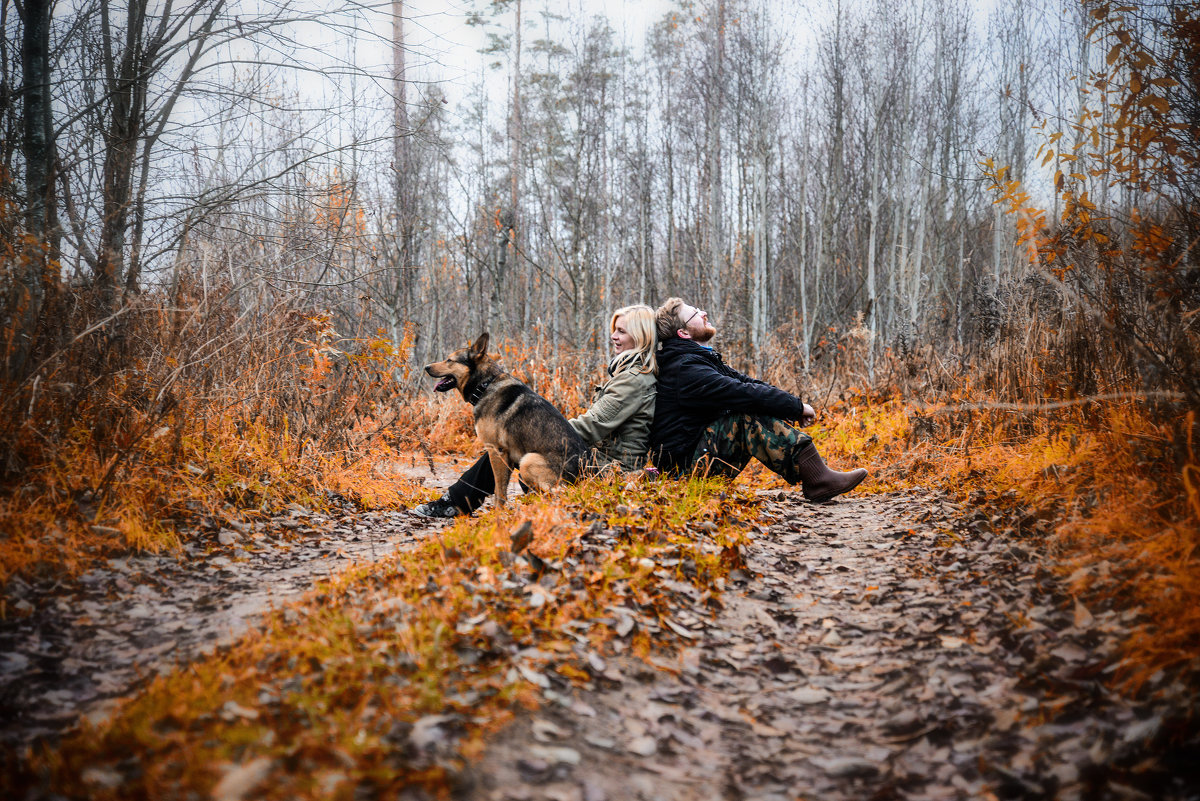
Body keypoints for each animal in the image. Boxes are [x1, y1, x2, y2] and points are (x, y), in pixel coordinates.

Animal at [424, 330, 588, 506]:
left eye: (449, 360)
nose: (426, 367)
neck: (484, 386)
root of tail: (584, 476)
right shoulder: (506, 456)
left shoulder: (496, 451)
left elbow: (499, 490)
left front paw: (497, 512)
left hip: (527, 461)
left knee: (556, 493)